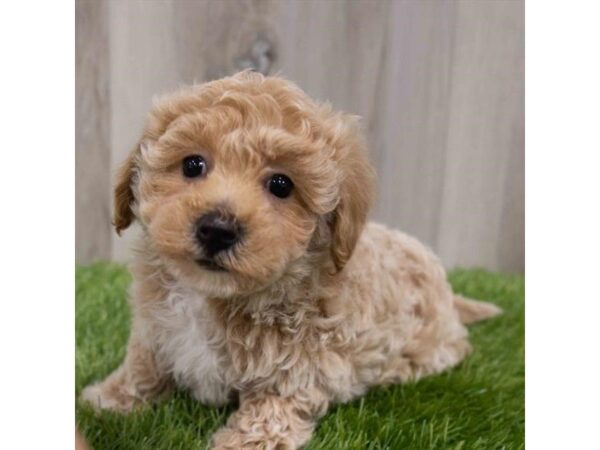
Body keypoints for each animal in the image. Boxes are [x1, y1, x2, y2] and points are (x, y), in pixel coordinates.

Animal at [81, 71, 502, 450]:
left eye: (281, 185)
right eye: (192, 165)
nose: (217, 229)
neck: (213, 296)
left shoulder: (297, 366)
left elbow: (271, 410)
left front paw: (240, 444)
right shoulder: (155, 328)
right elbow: (143, 366)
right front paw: (109, 398)